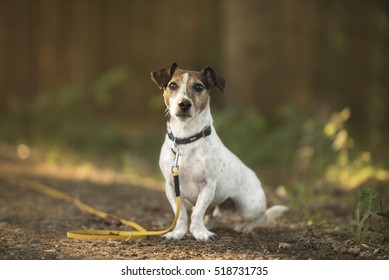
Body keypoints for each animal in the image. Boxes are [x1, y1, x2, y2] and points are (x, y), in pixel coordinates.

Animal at [150, 63, 286, 241]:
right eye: (172, 85)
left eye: (198, 87)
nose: (184, 104)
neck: (186, 138)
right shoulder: (172, 187)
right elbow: (181, 215)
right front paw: (178, 232)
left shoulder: (208, 185)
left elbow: (197, 213)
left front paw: (200, 232)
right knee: (212, 215)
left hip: (248, 206)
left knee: (260, 217)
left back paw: (243, 227)